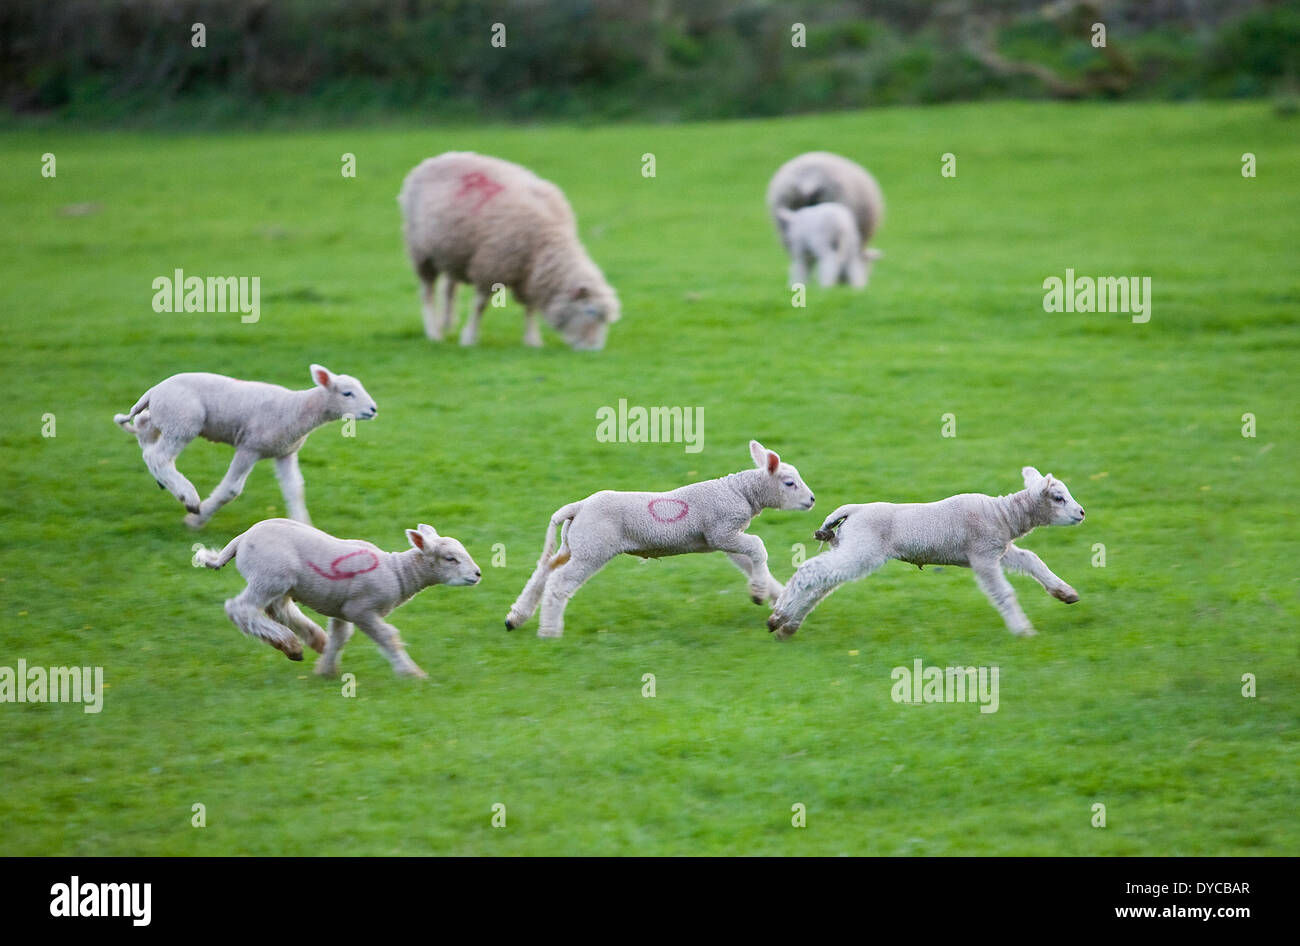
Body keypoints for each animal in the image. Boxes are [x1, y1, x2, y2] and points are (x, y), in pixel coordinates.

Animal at [112, 366, 379, 532]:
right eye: (347, 393)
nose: (373, 409)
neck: (296, 408)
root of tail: (154, 390)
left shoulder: (284, 452)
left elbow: (295, 489)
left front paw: (304, 527)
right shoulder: (249, 447)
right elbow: (231, 490)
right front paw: (195, 520)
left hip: (165, 419)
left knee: (144, 431)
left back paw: (163, 481)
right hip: (183, 421)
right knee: (157, 456)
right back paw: (188, 497)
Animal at [200, 517, 486, 680]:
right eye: (450, 558)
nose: (477, 574)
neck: (398, 573)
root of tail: (242, 538)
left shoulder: (343, 609)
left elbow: (340, 637)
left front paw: (326, 671)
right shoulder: (361, 609)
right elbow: (388, 637)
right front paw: (412, 674)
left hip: (279, 583)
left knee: (278, 610)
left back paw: (310, 641)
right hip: (270, 576)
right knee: (240, 609)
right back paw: (290, 643)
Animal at [395, 151, 618, 350]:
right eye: (591, 312)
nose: (594, 350)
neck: (545, 243)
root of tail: (431, 161)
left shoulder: (528, 275)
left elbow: (530, 306)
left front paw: (532, 340)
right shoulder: (489, 267)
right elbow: (480, 305)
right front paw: (469, 338)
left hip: (453, 251)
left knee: (450, 287)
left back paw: (446, 323)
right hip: (421, 252)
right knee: (427, 292)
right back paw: (434, 332)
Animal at [504, 441, 811, 636]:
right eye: (789, 483)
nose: (812, 500)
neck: (740, 491)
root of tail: (577, 507)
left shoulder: (723, 538)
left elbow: (750, 561)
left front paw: (774, 595)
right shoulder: (721, 531)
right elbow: (758, 547)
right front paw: (759, 593)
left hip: (573, 544)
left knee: (542, 573)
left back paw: (515, 618)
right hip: (593, 549)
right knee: (557, 583)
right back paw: (549, 631)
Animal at [769, 467, 1086, 639]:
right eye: (1059, 498)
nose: (1082, 513)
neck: (1003, 515)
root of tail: (853, 510)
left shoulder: (998, 549)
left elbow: (1032, 560)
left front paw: (1065, 593)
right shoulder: (982, 555)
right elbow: (1003, 593)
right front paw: (1024, 631)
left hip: (850, 548)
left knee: (821, 583)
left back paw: (787, 624)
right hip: (861, 551)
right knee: (811, 571)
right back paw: (780, 614)